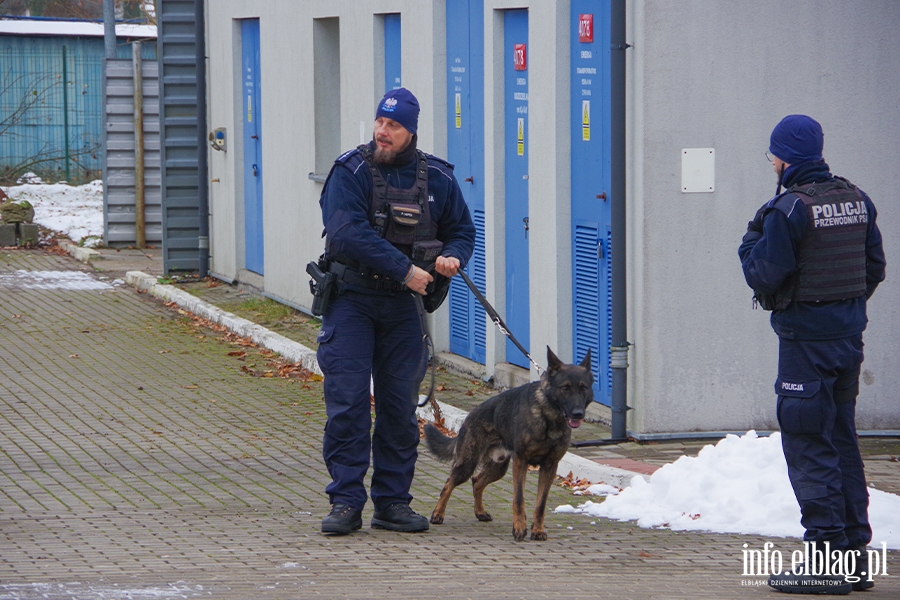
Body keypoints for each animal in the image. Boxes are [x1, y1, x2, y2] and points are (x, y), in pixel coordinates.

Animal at [426, 344, 596, 540]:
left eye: (583, 388)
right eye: (565, 388)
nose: (578, 413)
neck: (549, 417)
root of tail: (469, 416)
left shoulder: (549, 466)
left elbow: (541, 504)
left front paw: (537, 530)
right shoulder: (521, 461)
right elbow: (519, 499)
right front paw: (519, 528)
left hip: (498, 467)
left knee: (477, 481)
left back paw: (480, 512)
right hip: (467, 464)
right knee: (449, 484)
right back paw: (437, 514)